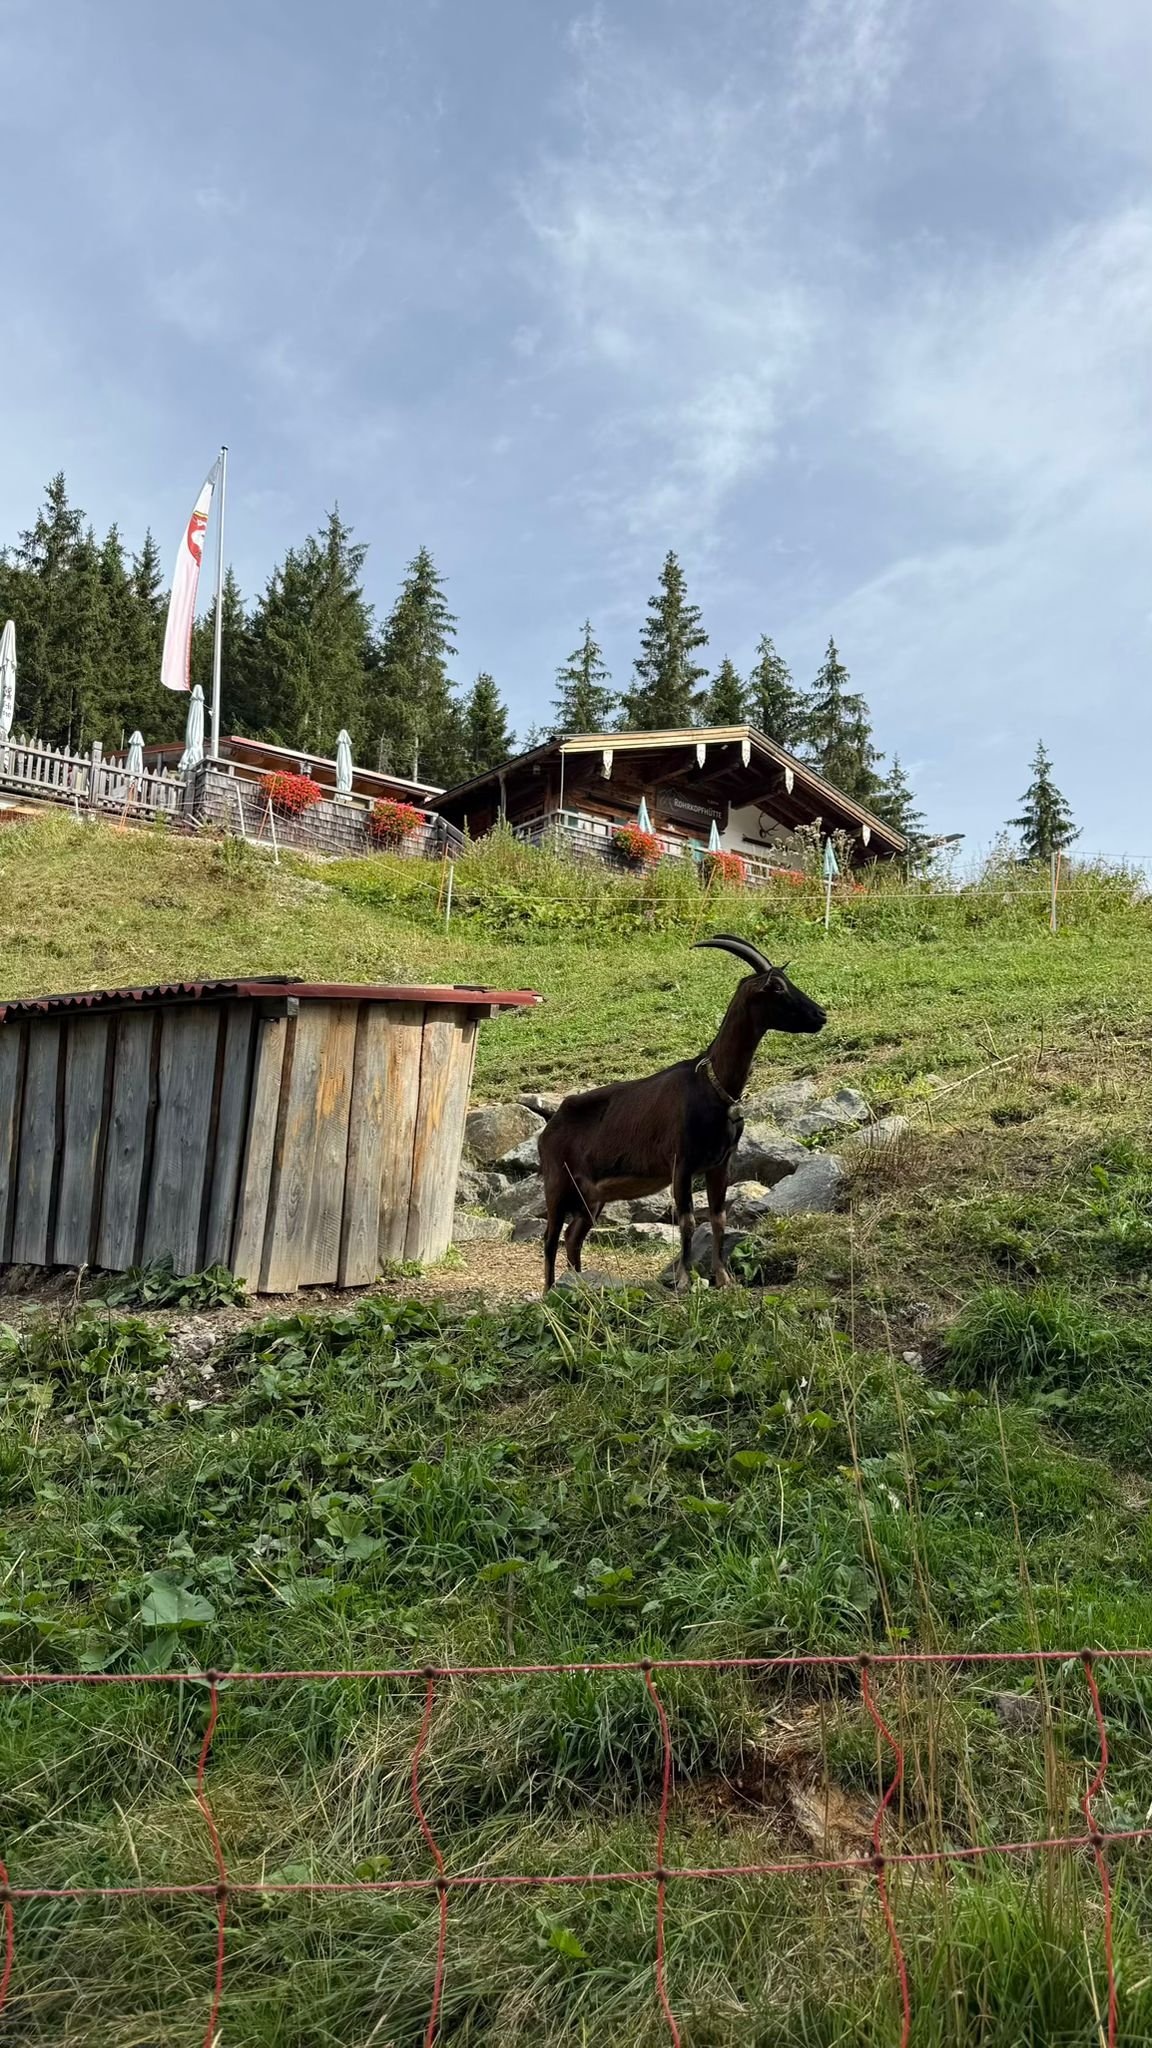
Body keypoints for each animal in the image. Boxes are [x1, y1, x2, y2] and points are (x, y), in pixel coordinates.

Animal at [538, 935, 826, 1292]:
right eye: (776, 987)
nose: (821, 1014)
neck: (713, 1085)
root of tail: (550, 1126)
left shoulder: (720, 1164)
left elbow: (718, 1219)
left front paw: (723, 1279)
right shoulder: (681, 1163)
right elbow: (687, 1221)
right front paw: (685, 1281)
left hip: (591, 1198)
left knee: (573, 1237)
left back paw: (576, 1283)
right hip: (557, 1185)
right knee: (550, 1238)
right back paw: (550, 1290)